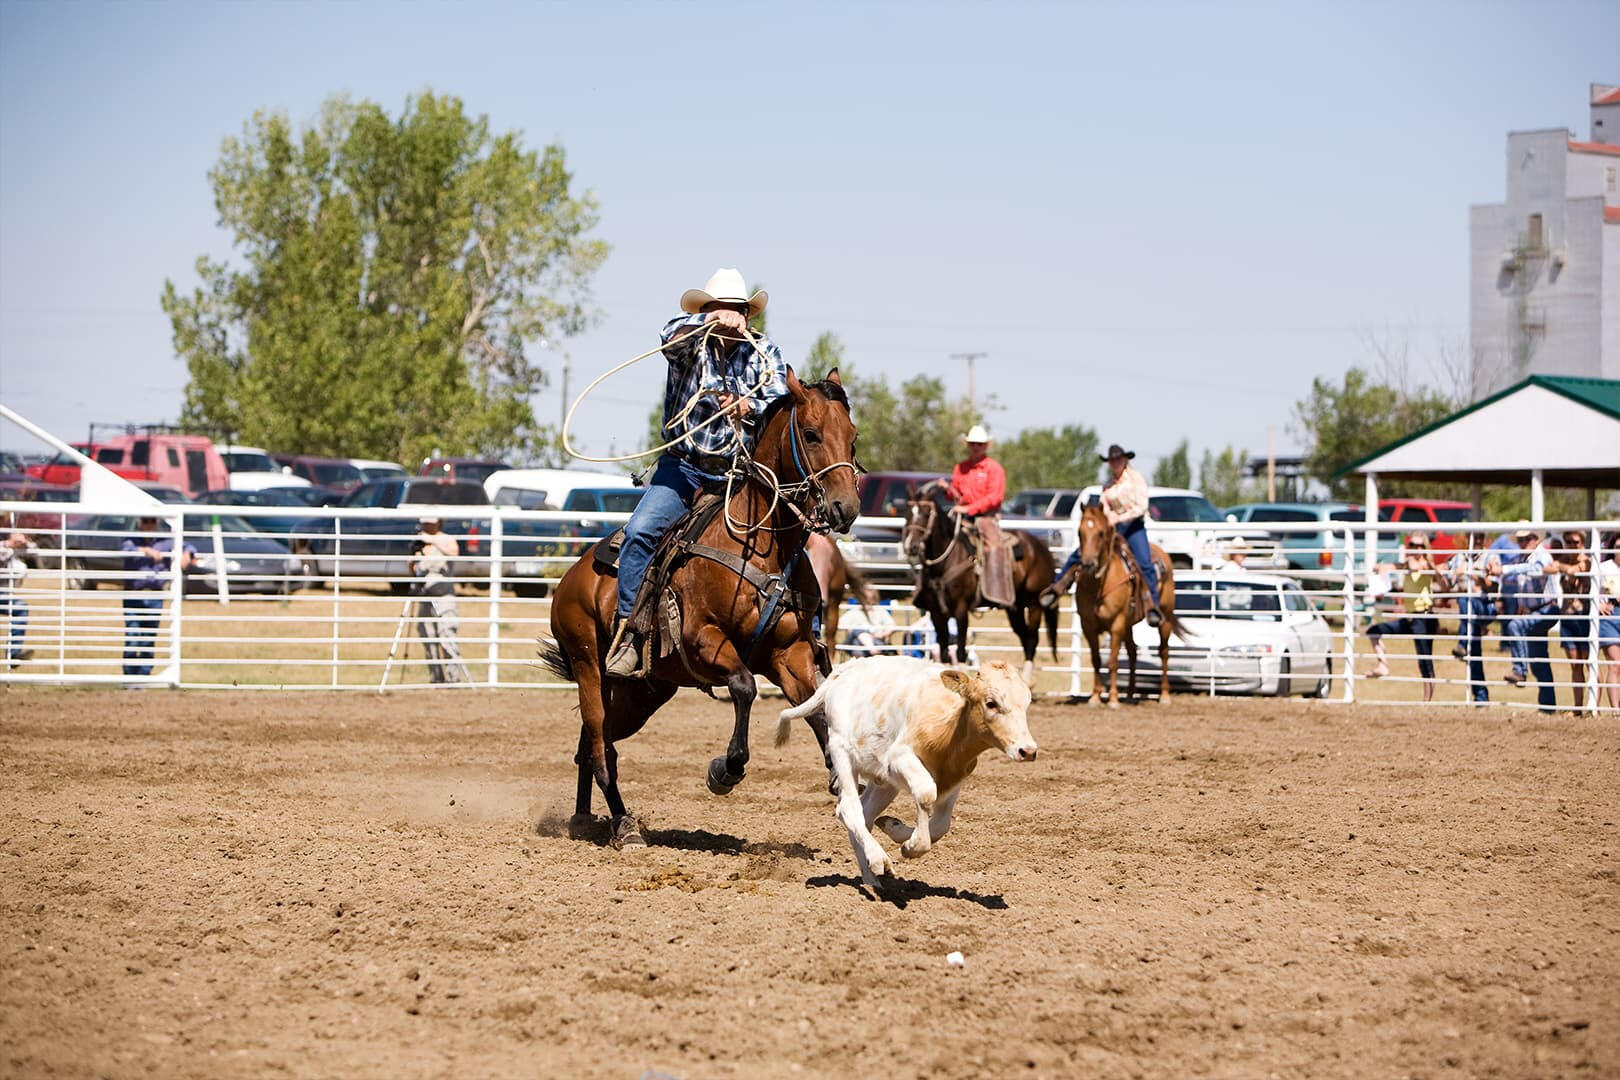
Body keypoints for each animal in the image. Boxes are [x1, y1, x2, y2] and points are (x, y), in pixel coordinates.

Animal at [776, 656, 1037, 890]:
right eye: (991, 702)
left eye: (1026, 702)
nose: (1028, 750)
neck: (948, 727)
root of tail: (850, 666)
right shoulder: (899, 759)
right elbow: (926, 793)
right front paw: (911, 847)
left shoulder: (956, 776)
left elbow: (941, 824)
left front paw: (895, 828)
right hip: (842, 753)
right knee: (848, 808)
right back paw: (878, 859)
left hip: (884, 784)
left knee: (865, 815)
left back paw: (871, 878)